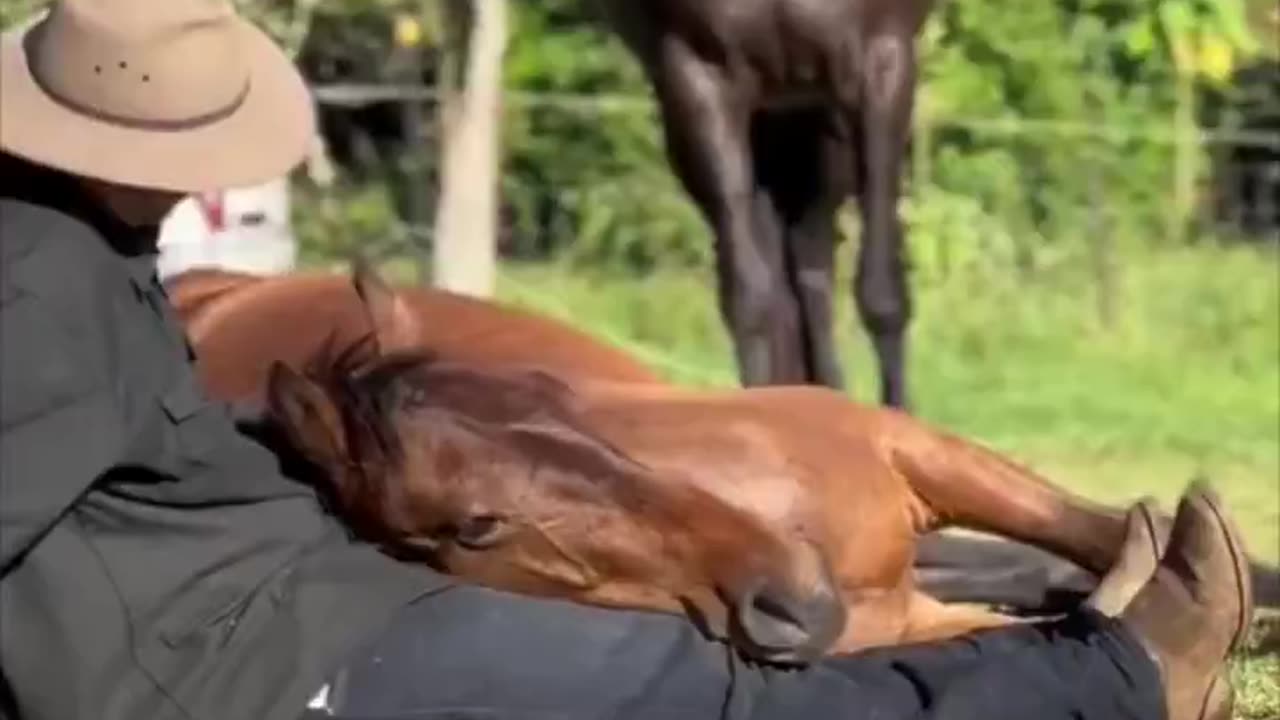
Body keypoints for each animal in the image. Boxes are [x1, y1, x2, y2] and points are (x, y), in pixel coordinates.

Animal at [258, 262, 1165, 664]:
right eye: (473, 526)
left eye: (557, 399)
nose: (798, 598)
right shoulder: (913, 618)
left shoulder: (907, 445)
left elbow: (1084, 526)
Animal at [595, 0, 934, 408]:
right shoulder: (697, 73)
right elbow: (749, 300)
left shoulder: (883, 59)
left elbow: (883, 296)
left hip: (822, 133)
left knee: (811, 266)